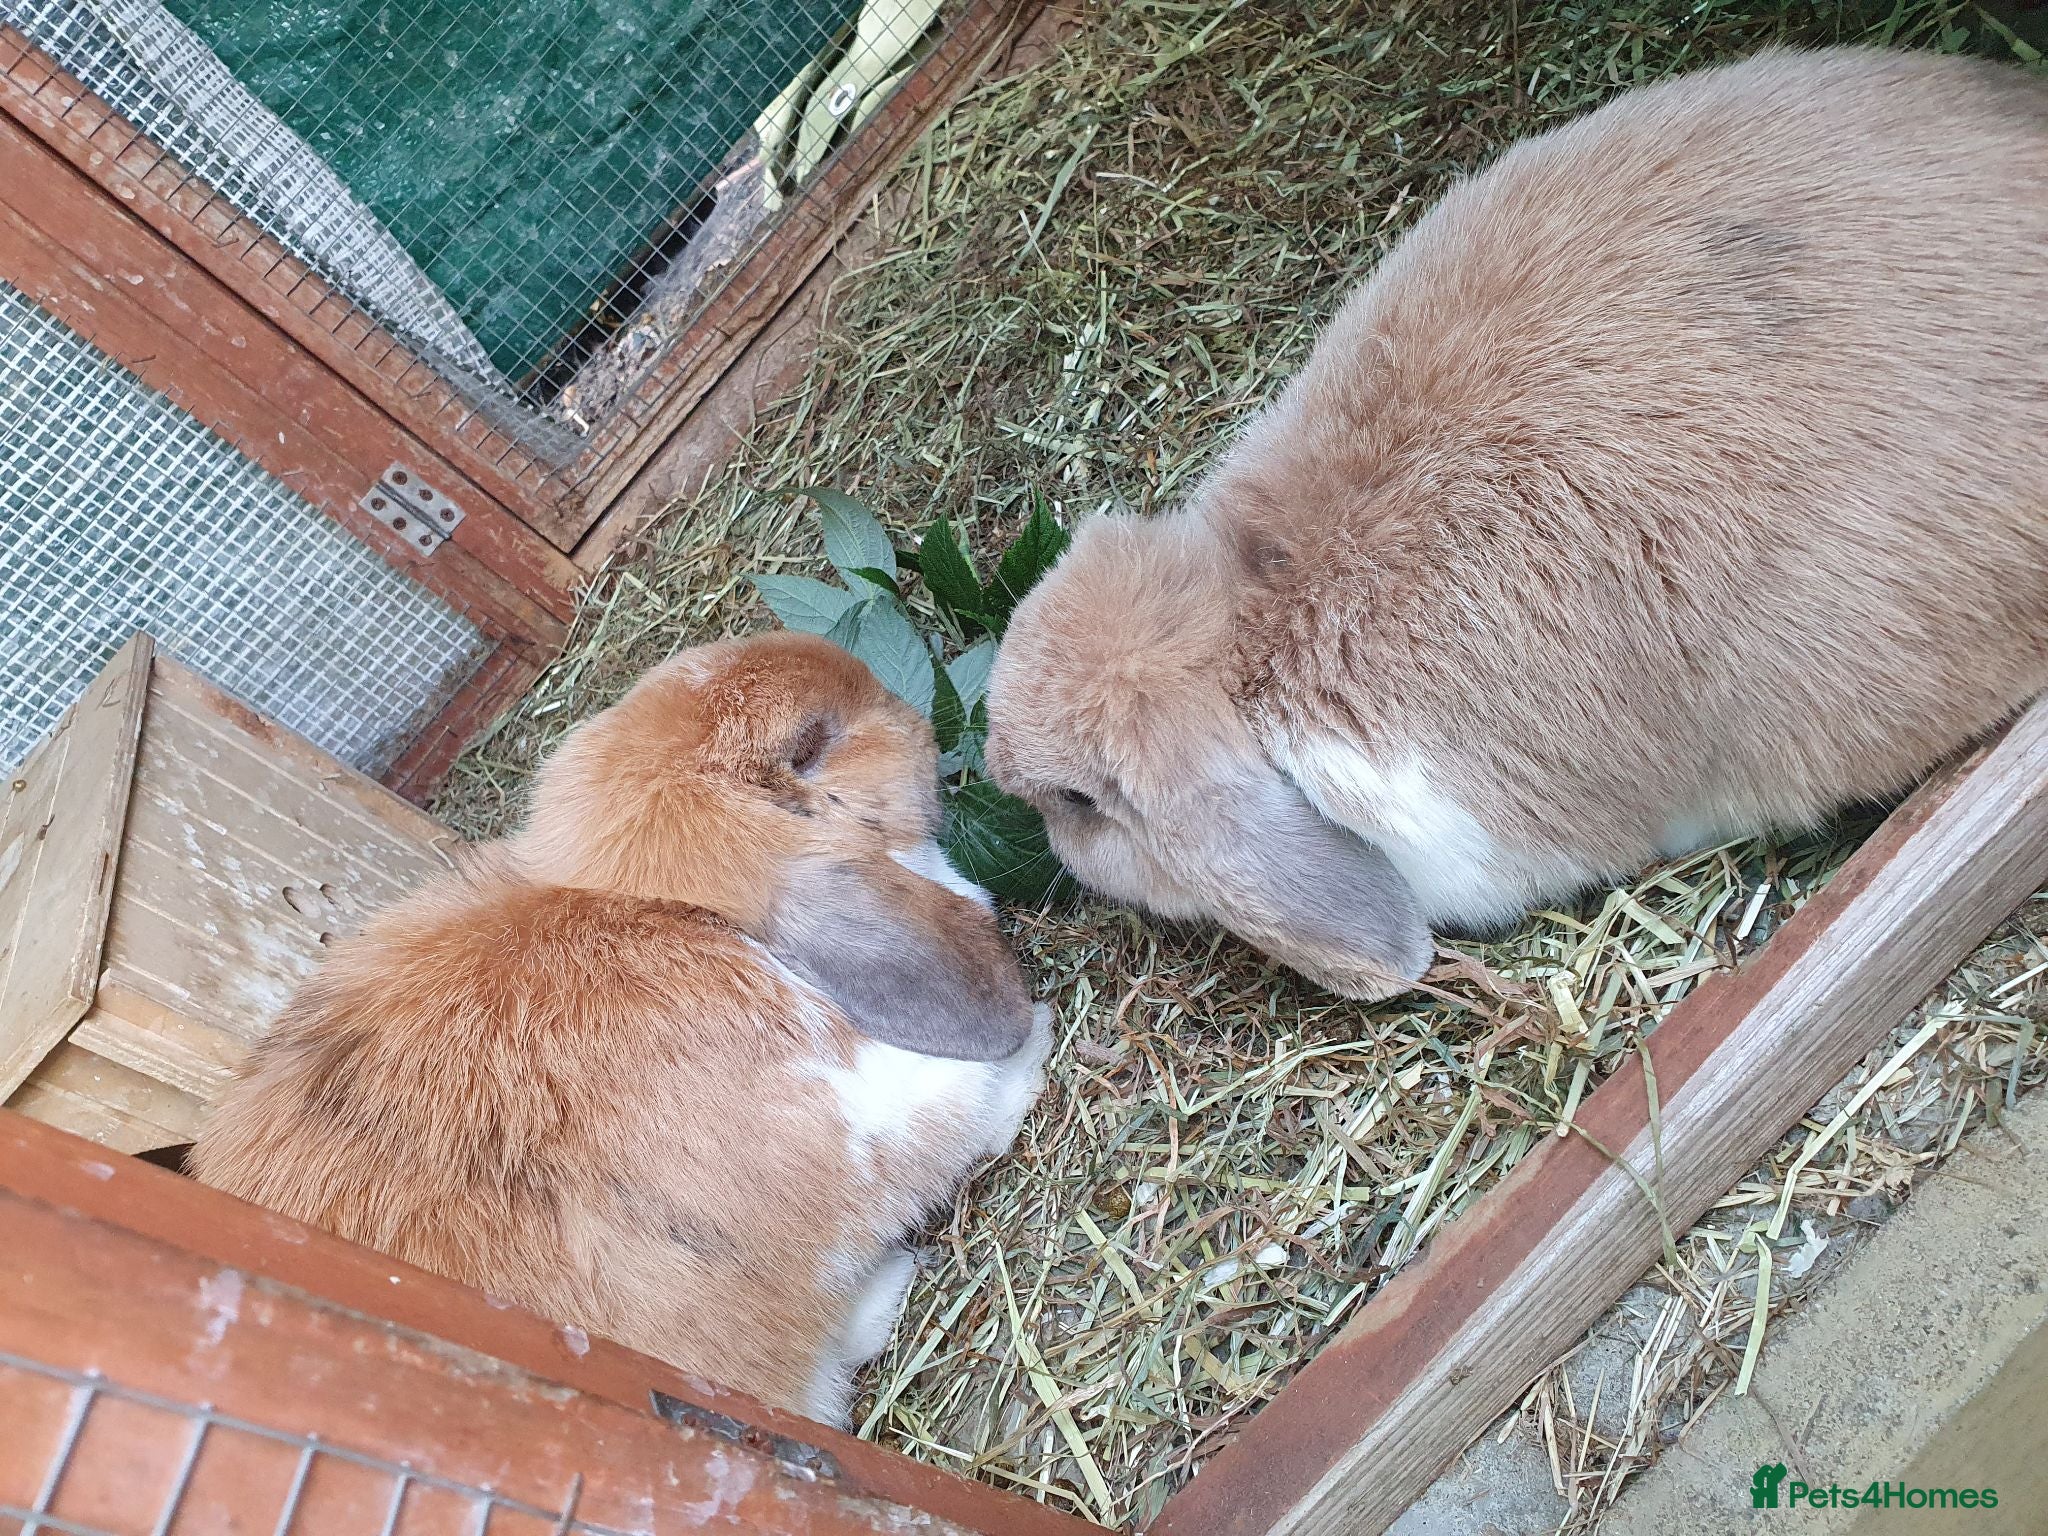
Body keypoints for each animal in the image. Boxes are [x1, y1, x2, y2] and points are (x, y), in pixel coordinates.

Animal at [190, 630, 1051, 1425]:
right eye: (810, 744)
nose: (917, 717)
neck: (660, 909)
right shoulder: (856, 1133)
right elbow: (966, 1108)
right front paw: (1036, 1044)